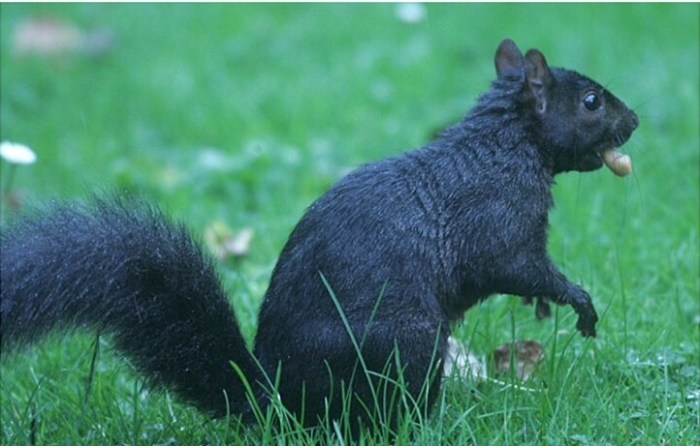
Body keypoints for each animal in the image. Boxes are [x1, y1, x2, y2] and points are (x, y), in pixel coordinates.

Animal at [0, 39, 638, 434]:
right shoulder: (497, 219)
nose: (634, 122)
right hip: (405, 345)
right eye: (591, 101)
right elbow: (518, 266)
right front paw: (576, 302)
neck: (506, 144)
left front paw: (544, 307)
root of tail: (276, 401)